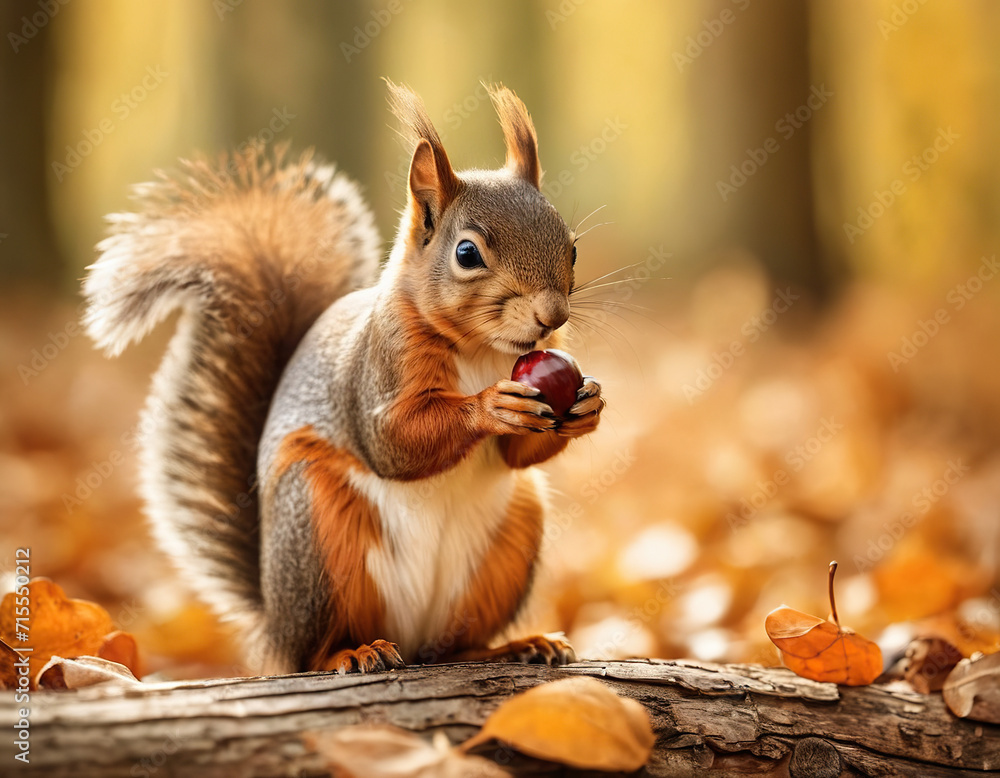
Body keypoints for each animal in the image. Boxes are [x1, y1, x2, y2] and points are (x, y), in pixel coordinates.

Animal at [83, 81, 605, 675]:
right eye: (467, 253)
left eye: (572, 247)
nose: (552, 316)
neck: (482, 350)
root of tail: (274, 626)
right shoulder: (377, 367)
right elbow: (392, 442)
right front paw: (492, 406)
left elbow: (519, 455)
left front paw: (587, 405)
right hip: (316, 531)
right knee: (313, 651)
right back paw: (352, 652)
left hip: (511, 539)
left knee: (455, 645)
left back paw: (515, 645)